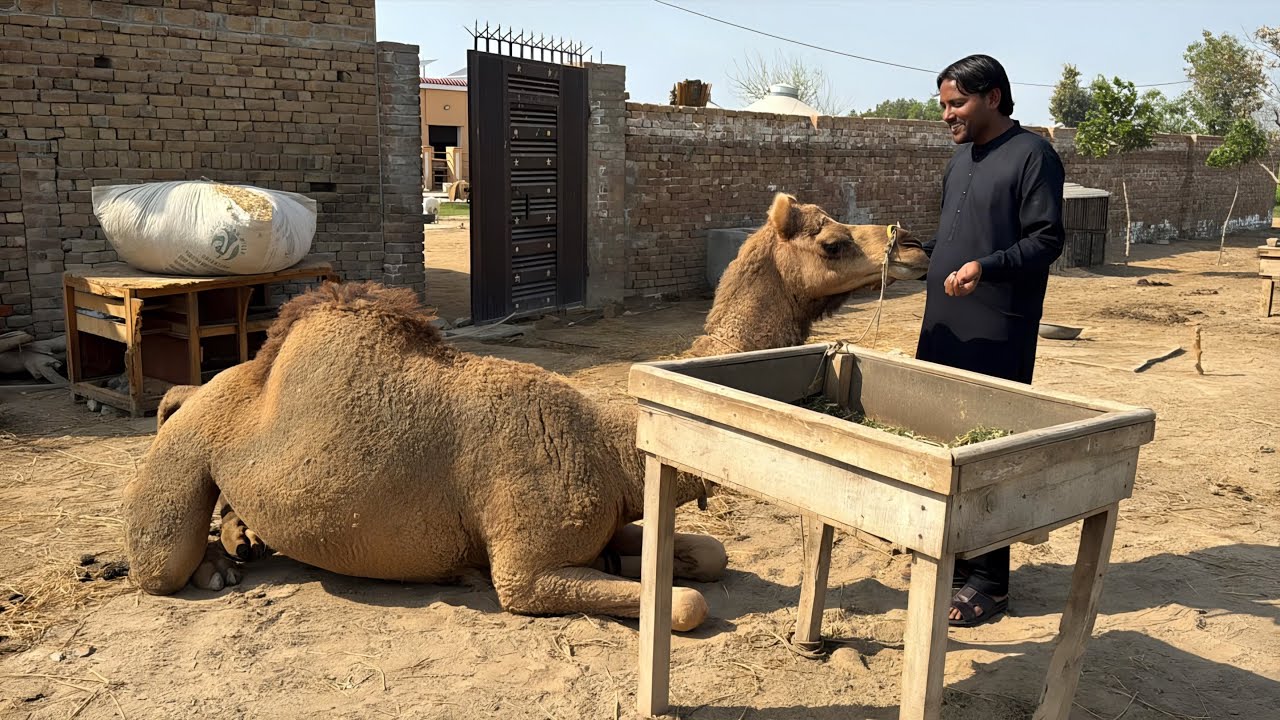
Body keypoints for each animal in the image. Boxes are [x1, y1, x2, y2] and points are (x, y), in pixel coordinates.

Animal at [126, 193, 929, 631]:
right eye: (834, 241)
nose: (914, 245)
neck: (610, 441)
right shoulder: (528, 568)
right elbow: (684, 606)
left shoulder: (606, 527)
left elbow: (709, 554)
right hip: (182, 459)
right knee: (158, 562)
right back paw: (212, 570)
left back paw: (241, 544)